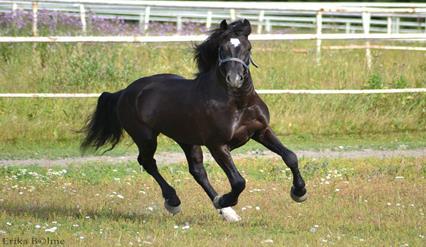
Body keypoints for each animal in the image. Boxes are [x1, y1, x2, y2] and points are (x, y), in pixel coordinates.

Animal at [80, 19, 306, 222]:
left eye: (247, 48)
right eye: (222, 49)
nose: (234, 79)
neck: (238, 104)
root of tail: (125, 92)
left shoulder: (261, 131)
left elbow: (290, 156)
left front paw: (299, 192)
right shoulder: (218, 145)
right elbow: (238, 181)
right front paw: (224, 199)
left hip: (187, 140)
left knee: (197, 171)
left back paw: (227, 213)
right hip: (146, 137)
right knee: (148, 162)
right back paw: (175, 202)